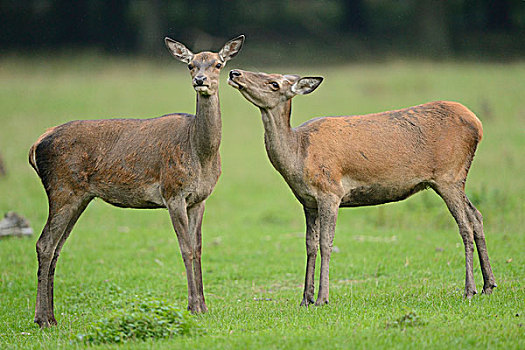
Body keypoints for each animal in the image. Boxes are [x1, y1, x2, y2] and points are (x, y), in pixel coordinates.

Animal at [27, 34, 244, 326]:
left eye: (218, 64)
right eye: (190, 65)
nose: (200, 80)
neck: (201, 154)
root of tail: (37, 143)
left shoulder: (200, 199)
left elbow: (198, 248)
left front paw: (204, 306)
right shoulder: (172, 192)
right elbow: (185, 248)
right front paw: (193, 307)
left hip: (80, 197)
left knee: (57, 246)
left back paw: (50, 316)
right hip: (62, 188)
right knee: (44, 244)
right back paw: (41, 319)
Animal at [227, 69, 494, 308]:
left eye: (274, 83)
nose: (235, 72)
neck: (298, 155)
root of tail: (479, 125)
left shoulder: (330, 192)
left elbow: (326, 243)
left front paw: (322, 298)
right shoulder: (307, 202)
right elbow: (310, 245)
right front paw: (305, 299)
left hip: (449, 176)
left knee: (464, 225)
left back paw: (469, 289)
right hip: (456, 179)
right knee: (477, 215)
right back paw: (488, 285)